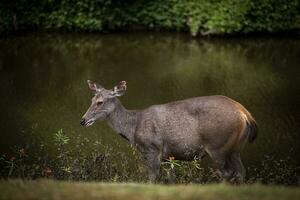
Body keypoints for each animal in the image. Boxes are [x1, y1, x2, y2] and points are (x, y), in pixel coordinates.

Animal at [81, 80, 256, 184]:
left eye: (100, 102)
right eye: (91, 100)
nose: (82, 120)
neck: (132, 128)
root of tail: (246, 114)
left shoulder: (152, 149)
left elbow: (152, 178)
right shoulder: (167, 156)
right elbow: (170, 179)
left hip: (217, 144)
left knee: (227, 172)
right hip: (234, 148)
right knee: (240, 171)